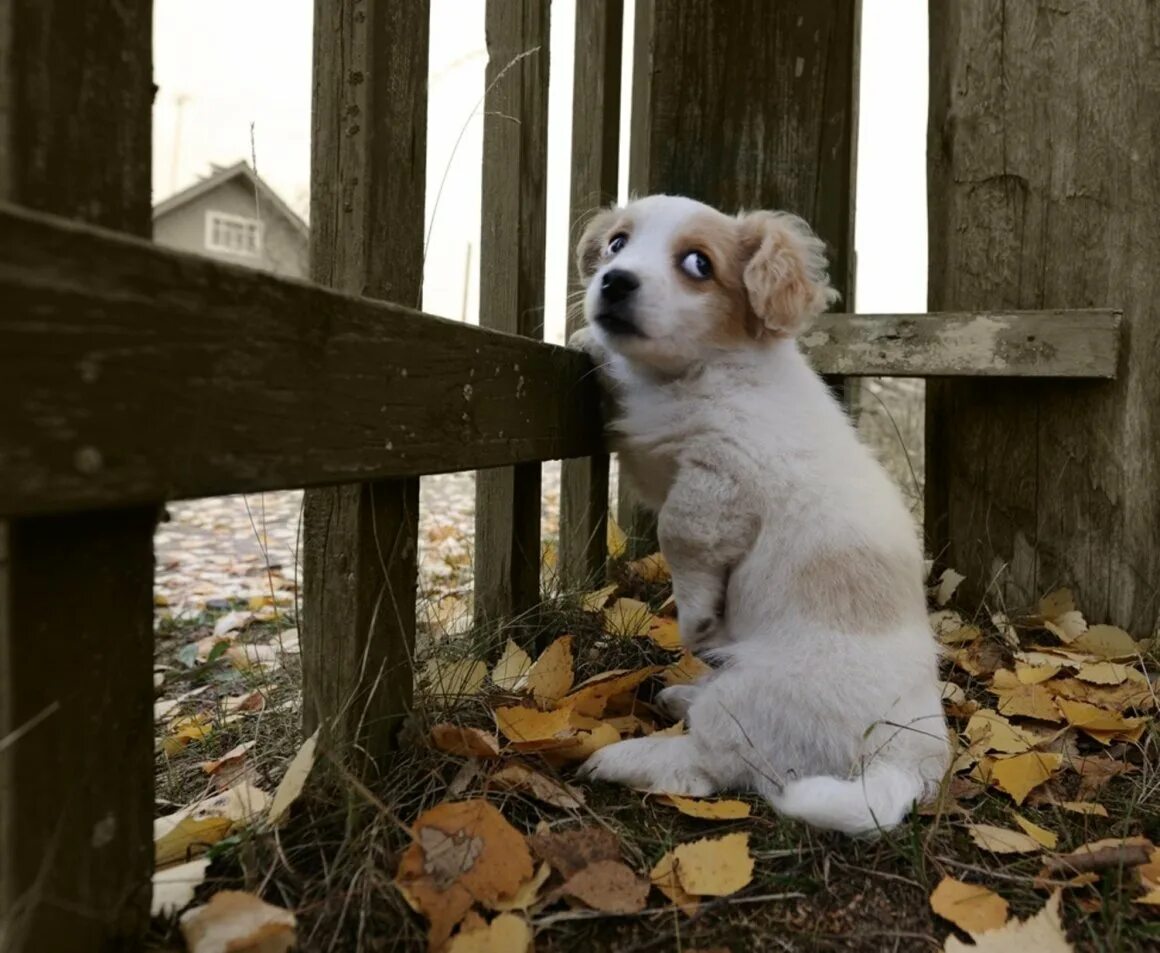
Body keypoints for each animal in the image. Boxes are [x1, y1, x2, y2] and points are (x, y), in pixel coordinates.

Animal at [570, 193, 951, 834]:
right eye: (617, 243)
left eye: (698, 264)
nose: (613, 280)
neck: (695, 374)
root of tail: (911, 753)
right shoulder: (657, 459)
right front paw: (586, 339)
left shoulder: (719, 480)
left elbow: (680, 535)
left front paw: (695, 614)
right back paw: (681, 696)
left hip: (753, 699)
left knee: (709, 766)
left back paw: (625, 756)